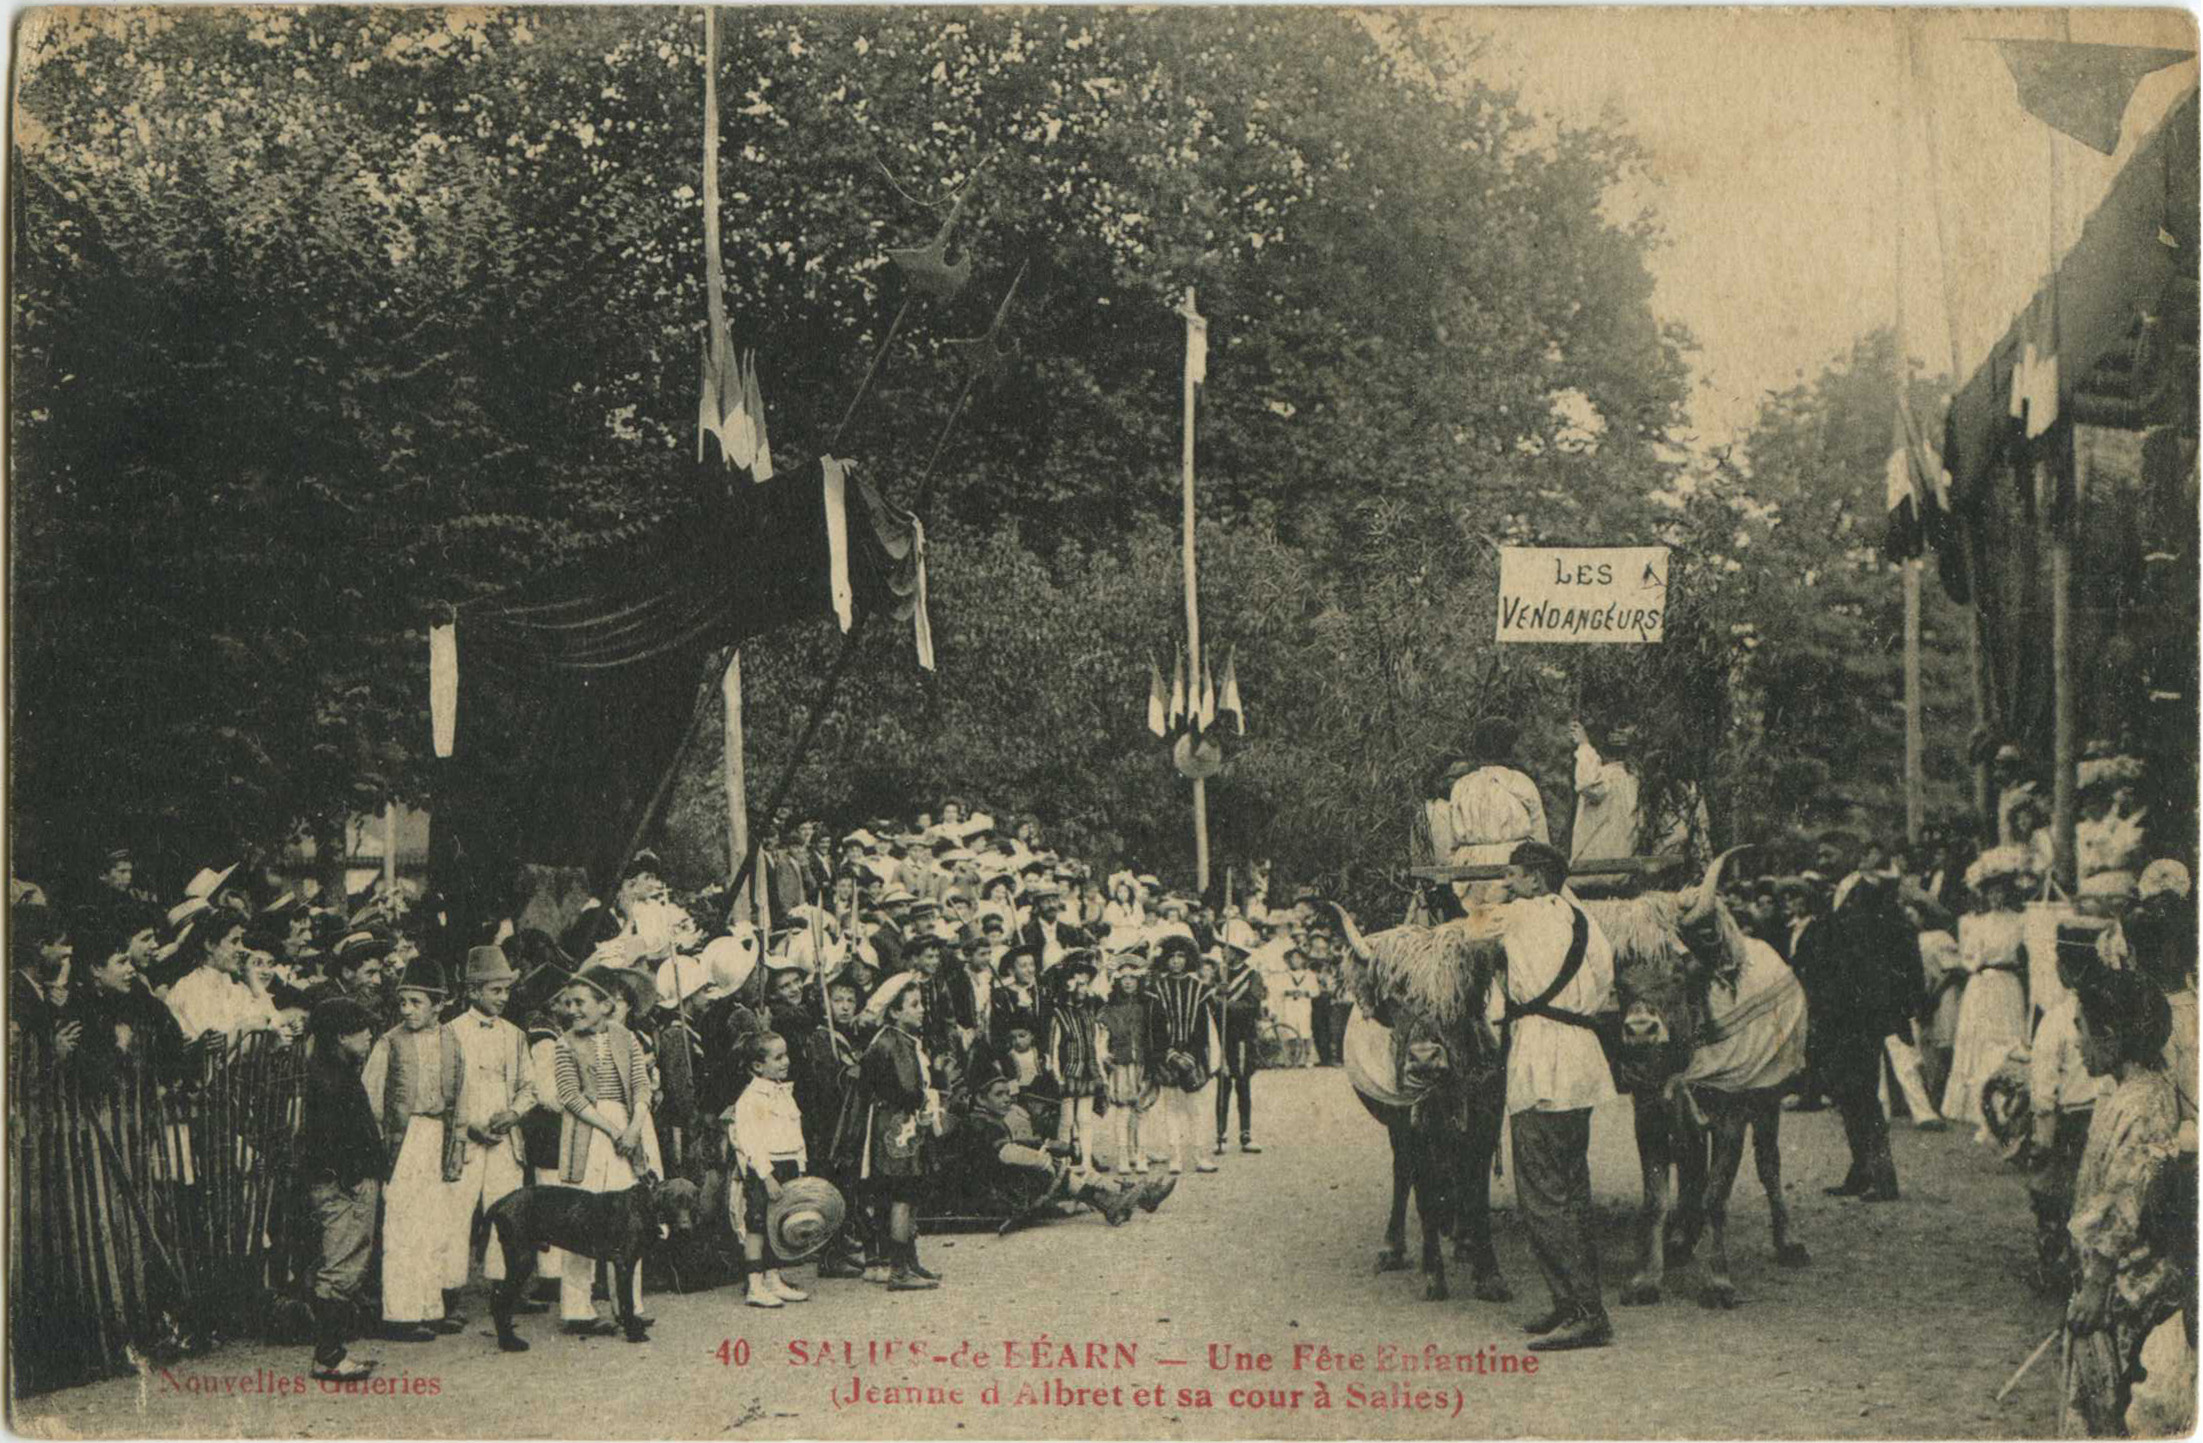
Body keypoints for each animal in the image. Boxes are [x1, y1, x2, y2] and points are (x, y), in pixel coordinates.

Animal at [489, 1172, 696, 1357]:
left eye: (691, 1202)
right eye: (675, 1201)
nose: (686, 1228)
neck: (646, 1207)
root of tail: (501, 1202)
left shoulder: (625, 1264)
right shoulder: (624, 1264)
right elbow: (627, 1303)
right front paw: (634, 1334)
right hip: (521, 1260)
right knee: (499, 1302)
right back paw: (509, 1343)